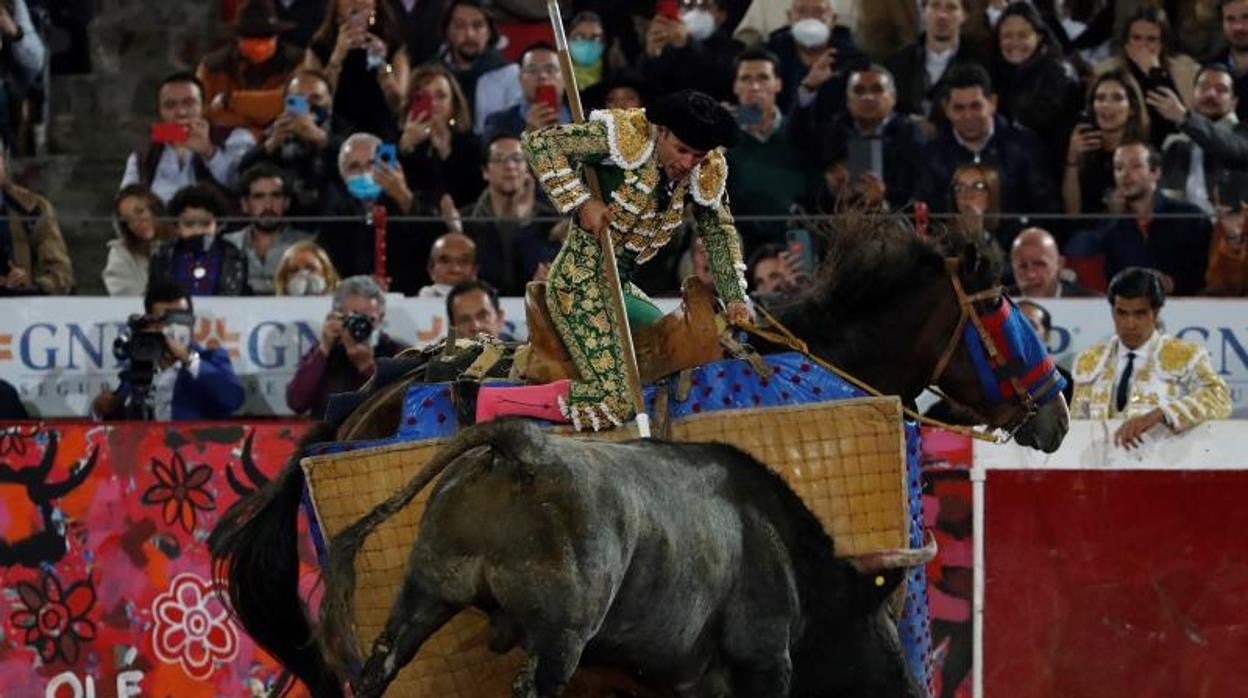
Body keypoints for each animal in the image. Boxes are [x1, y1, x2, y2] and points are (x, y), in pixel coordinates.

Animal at [307, 419, 933, 698]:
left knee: (380, 665)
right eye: (882, 617)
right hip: (561, 635)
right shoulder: (764, 658)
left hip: (427, 591)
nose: (910, 689)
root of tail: (520, 446)